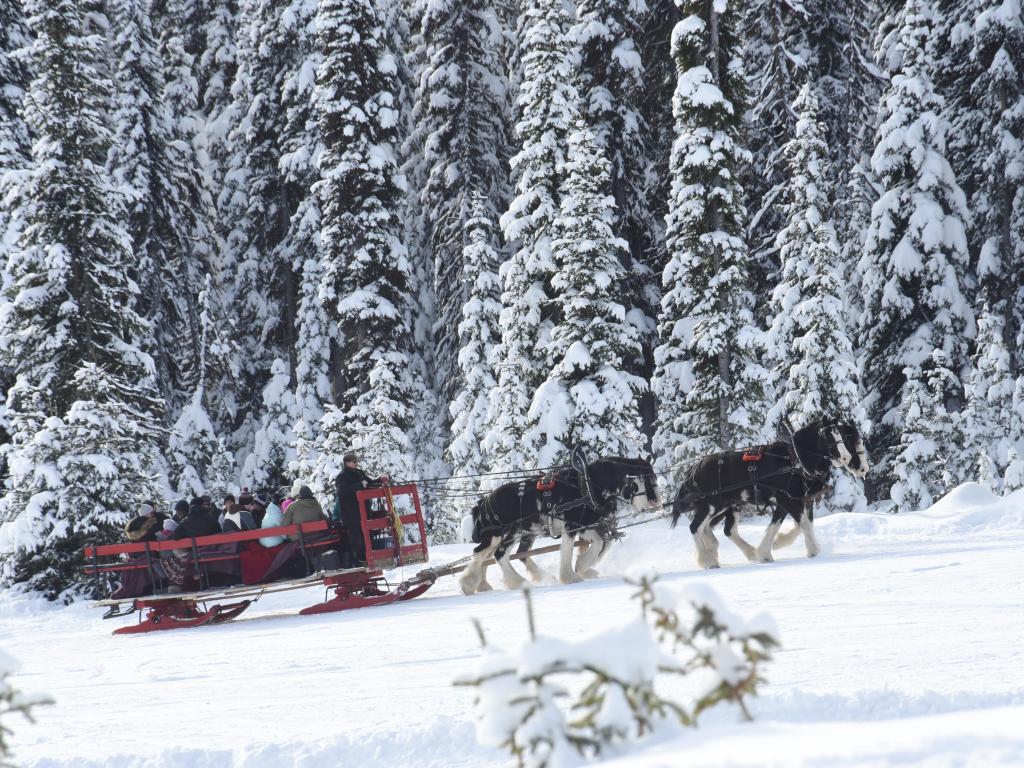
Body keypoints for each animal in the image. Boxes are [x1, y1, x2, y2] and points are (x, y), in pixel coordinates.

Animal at [458, 456, 655, 593]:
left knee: (495, 555)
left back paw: (489, 584)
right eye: (638, 483)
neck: (586, 485)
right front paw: (570, 577)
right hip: (502, 533)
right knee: (489, 554)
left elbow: (598, 543)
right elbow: (568, 550)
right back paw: (483, 584)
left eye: (652, 479)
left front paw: (582, 567)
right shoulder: (571, 526)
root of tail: (485, 500)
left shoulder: (583, 525)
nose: (653, 503)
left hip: (518, 532)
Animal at [667, 423, 868, 569]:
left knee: (720, 529)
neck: (796, 460)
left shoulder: (794, 500)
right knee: (696, 527)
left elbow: (792, 524)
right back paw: (706, 560)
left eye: (843, 437)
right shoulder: (788, 500)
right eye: (829, 437)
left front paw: (769, 549)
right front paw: (813, 550)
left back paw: (728, 552)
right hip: (710, 504)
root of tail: (696, 467)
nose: (862, 468)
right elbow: (803, 523)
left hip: (727, 505)